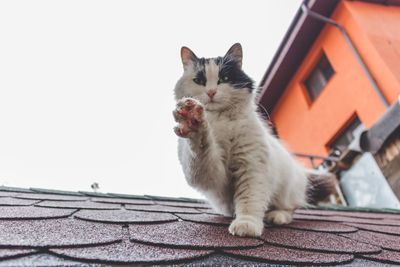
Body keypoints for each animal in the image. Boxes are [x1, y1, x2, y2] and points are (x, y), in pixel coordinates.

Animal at [173, 44, 324, 239]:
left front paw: (247, 225)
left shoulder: (251, 165)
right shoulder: (210, 175)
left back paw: (276, 216)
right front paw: (192, 120)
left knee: (290, 209)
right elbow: (201, 147)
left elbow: (249, 200)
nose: (211, 92)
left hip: (288, 188)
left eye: (225, 78)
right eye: (199, 80)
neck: (221, 121)